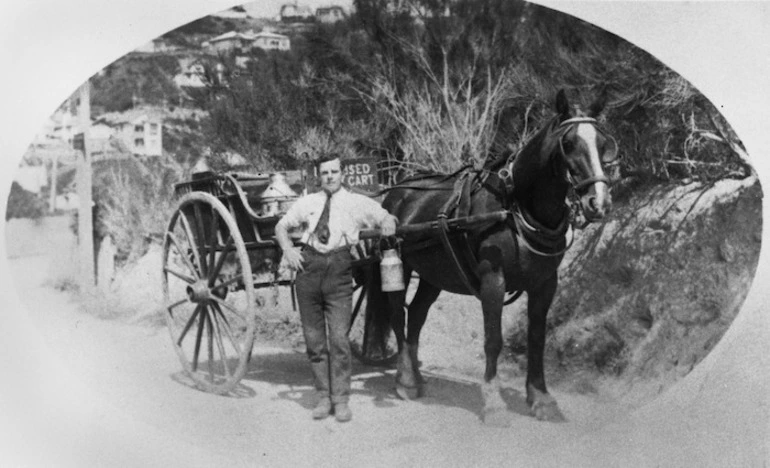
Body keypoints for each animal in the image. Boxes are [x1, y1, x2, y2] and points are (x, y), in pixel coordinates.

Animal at [366, 88, 616, 424]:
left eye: (603, 144)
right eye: (569, 143)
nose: (598, 203)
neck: (514, 205)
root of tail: (397, 191)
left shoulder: (545, 284)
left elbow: (537, 339)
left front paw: (541, 397)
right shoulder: (493, 279)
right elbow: (493, 339)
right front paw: (494, 403)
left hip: (435, 274)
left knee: (417, 315)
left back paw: (415, 376)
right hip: (399, 265)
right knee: (397, 314)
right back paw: (406, 380)